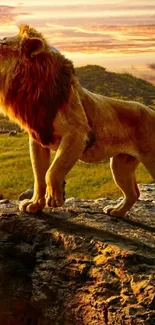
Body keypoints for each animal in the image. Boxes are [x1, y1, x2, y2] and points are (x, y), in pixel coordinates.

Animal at [0, 24, 155, 214]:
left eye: (3, 43)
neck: (32, 89)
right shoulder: (37, 138)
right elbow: (39, 175)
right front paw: (35, 204)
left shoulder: (78, 134)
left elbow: (52, 171)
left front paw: (55, 198)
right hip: (120, 165)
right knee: (133, 193)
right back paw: (116, 211)